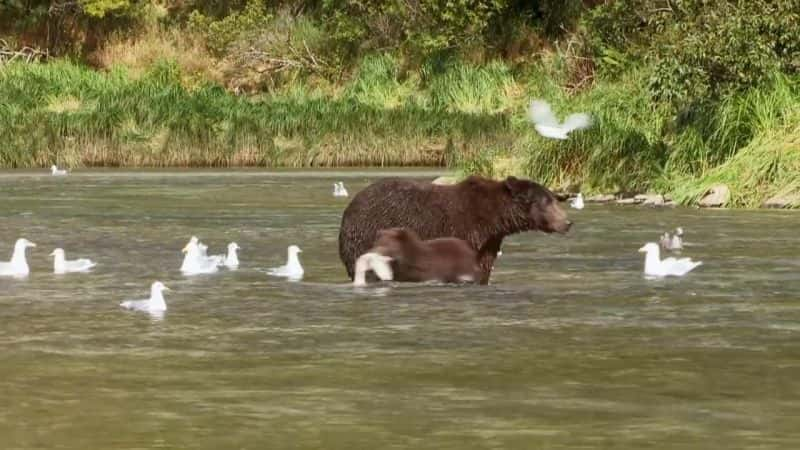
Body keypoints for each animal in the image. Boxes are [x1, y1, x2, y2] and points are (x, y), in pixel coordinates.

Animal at [336, 174, 568, 284]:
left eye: (554, 199)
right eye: (547, 202)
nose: (567, 223)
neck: (494, 219)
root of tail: (349, 207)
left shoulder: (488, 244)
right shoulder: (467, 231)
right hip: (363, 235)